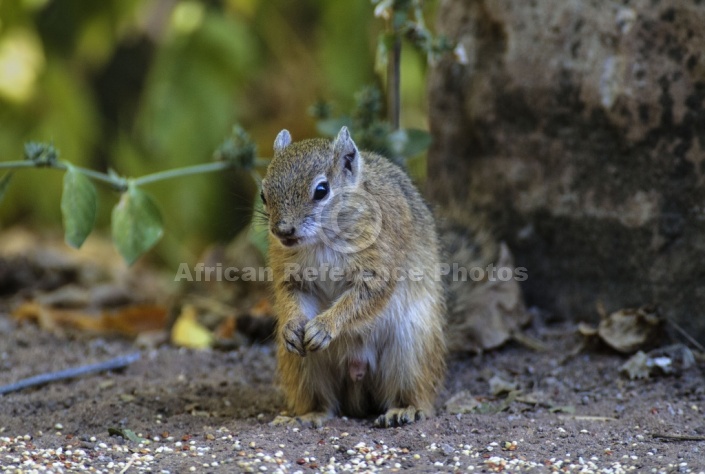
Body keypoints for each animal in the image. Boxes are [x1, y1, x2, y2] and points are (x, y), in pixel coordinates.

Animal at [262, 127, 442, 430]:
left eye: (321, 190)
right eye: (263, 194)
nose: (283, 230)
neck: (321, 241)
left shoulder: (379, 266)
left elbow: (363, 299)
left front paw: (324, 326)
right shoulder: (291, 275)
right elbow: (290, 296)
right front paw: (292, 326)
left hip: (410, 351)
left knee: (417, 394)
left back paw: (404, 410)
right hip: (304, 367)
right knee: (323, 401)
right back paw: (308, 415)